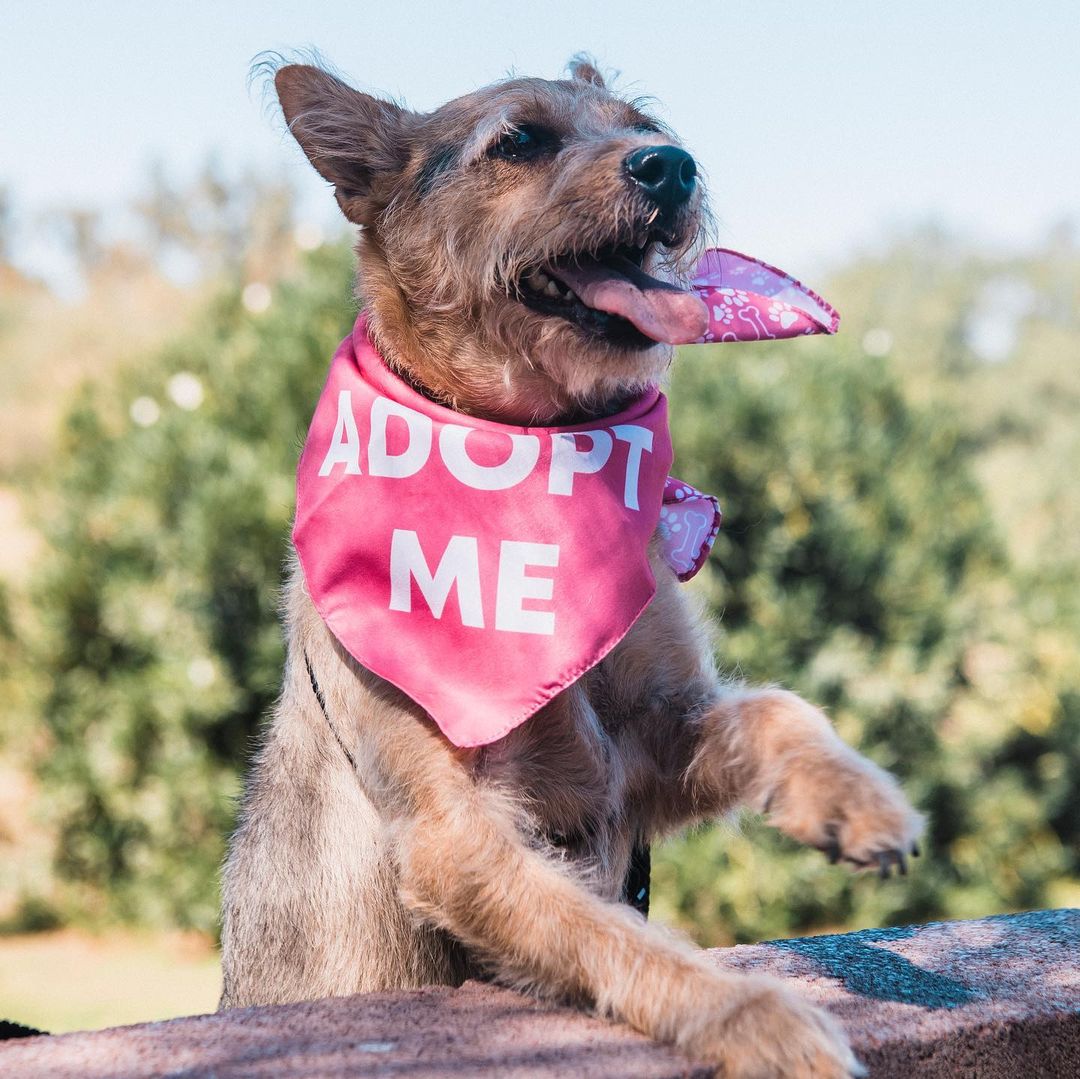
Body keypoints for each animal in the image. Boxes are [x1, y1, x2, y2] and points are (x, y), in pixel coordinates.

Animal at [219, 59, 920, 1079]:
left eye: (647, 126)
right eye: (517, 141)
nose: (671, 166)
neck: (530, 443)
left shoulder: (647, 744)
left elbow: (775, 708)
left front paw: (854, 797)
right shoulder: (456, 834)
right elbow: (615, 935)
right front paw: (753, 1012)